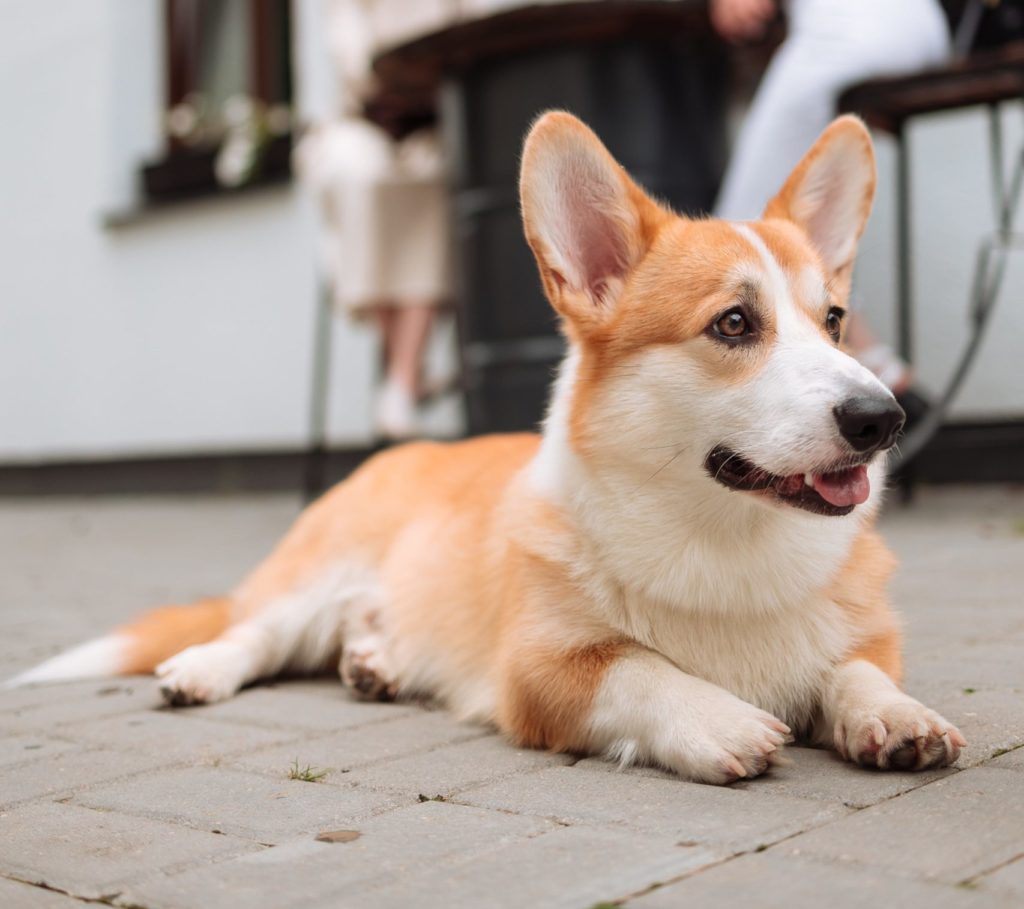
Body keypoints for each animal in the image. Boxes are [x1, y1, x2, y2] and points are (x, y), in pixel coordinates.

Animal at [9, 112, 966, 782]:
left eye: (833, 321)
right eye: (734, 323)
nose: (883, 419)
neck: (725, 545)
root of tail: (405, 451)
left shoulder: (866, 637)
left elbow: (855, 672)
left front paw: (896, 718)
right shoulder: (539, 669)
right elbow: (638, 668)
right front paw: (719, 717)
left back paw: (375, 662)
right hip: (319, 571)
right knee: (257, 632)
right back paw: (204, 668)